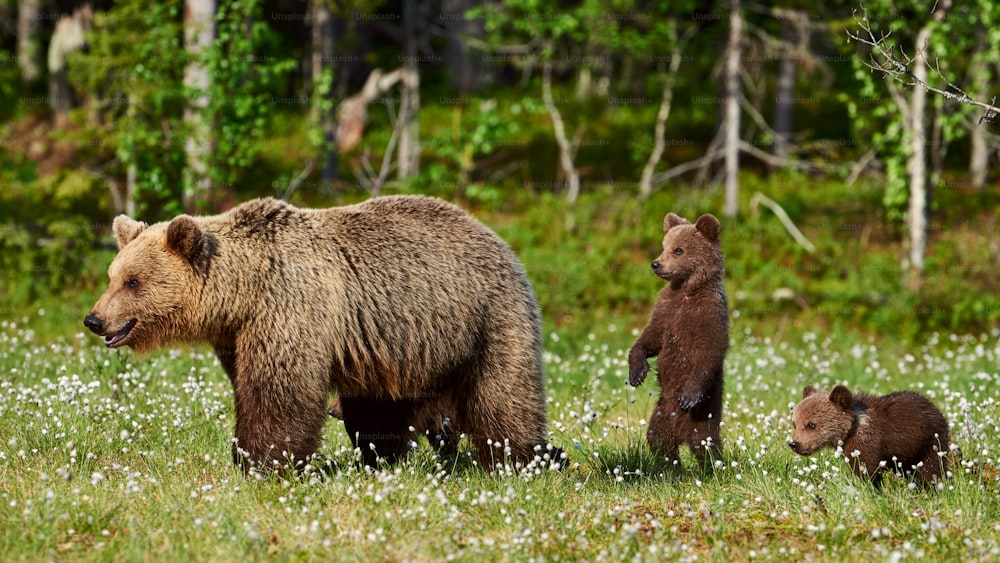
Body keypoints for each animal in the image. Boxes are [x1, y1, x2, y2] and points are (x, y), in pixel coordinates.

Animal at [82, 196, 560, 474]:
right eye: (112, 276)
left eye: (134, 282)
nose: (95, 319)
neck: (243, 293)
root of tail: (497, 237)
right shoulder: (238, 335)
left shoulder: (290, 307)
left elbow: (279, 390)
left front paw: (262, 463)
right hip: (396, 342)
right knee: (378, 408)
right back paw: (380, 458)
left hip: (486, 316)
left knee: (503, 396)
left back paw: (524, 459)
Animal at [628, 214, 724, 464]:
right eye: (664, 247)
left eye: (678, 250)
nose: (656, 264)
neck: (687, 290)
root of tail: (681, 433)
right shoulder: (666, 310)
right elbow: (650, 338)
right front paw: (637, 372)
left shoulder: (709, 314)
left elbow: (709, 350)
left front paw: (688, 396)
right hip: (661, 412)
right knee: (659, 440)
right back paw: (671, 466)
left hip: (704, 415)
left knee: (706, 445)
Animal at [788, 386, 952, 486]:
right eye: (795, 424)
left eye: (811, 424)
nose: (794, 443)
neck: (852, 428)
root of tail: (936, 408)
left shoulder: (866, 444)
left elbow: (865, 470)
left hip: (929, 443)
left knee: (931, 469)